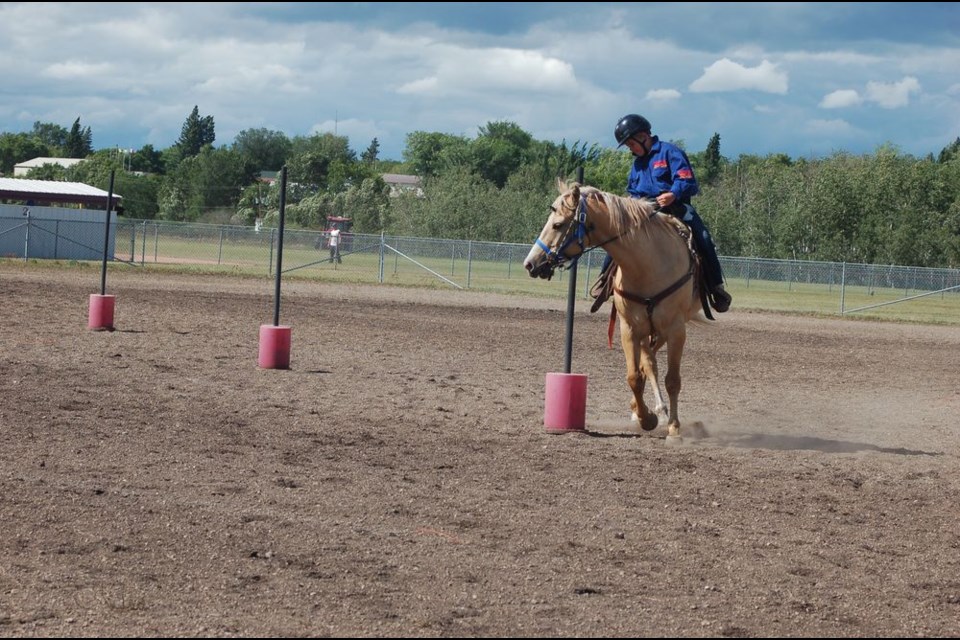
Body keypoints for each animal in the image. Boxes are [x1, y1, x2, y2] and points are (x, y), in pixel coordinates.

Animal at [524, 180, 704, 440]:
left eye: (558, 224)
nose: (530, 263)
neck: (647, 264)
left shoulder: (676, 330)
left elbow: (672, 380)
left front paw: (674, 427)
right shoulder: (629, 328)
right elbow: (633, 377)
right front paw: (646, 417)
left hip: (662, 331)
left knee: (651, 361)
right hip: (648, 331)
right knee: (648, 362)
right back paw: (648, 409)